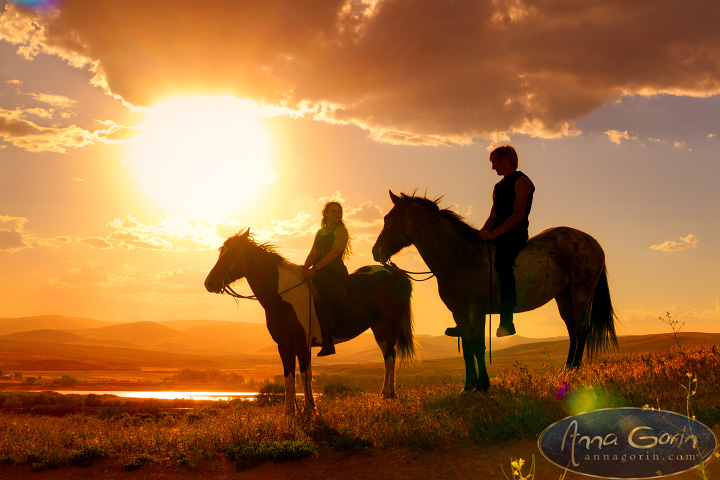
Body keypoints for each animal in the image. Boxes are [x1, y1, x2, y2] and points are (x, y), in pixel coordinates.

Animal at [202, 229, 416, 412]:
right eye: (221, 252)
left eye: (231, 254)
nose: (209, 283)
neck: (284, 296)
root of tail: (396, 273)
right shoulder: (284, 345)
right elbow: (290, 378)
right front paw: (290, 413)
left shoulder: (301, 344)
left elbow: (305, 375)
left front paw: (308, 410)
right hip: (379, 328)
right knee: (390, 355)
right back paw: (389, 394)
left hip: (391, 324)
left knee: (389, 357)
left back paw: (387, 394)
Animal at [372, 191, 620, 394]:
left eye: (389, 222)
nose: (376, 252)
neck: (460, 257)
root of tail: (592, 242)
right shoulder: (458, 312)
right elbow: (468, 348)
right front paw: (469, 386)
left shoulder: (476, 310)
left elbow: (478, 346)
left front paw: (483, 384)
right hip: (564, 296)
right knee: (572, 331)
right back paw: (567, 371)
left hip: (581, 291)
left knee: (581, 329)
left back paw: (576, 371)